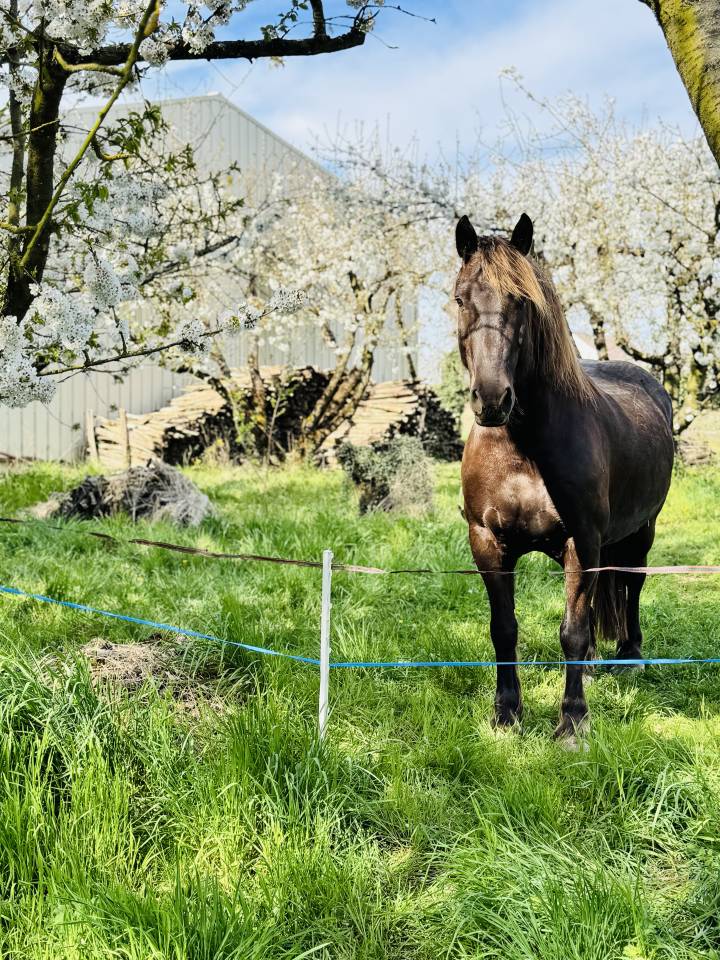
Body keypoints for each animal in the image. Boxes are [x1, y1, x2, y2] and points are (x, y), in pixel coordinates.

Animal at [455, 213, 674, 740]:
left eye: (521, 301)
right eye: (460, 299)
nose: (492, 399)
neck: (522, 450)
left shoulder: (583, 539)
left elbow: (570, 630)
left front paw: (572, 723)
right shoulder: (487, 543)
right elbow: (504, 629)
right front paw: (506, 714)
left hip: (641, 531)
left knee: (631, 584)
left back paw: (629, 657)